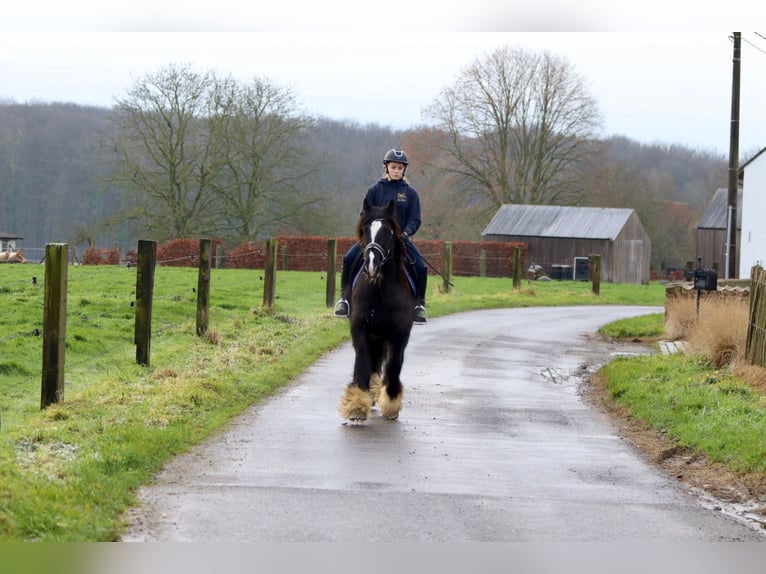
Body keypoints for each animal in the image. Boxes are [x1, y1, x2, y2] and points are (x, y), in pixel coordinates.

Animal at [340, 199, 416, 424]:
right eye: (365, 230)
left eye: (388, 232)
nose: (372, 264)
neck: (379, 290)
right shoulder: (360, 329)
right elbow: (363, 362)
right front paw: (357, 405)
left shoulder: (400, 334)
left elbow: (393, 366)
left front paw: (391, 404)